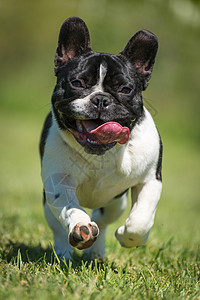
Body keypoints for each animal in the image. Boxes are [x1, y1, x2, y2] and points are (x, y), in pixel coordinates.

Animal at [39, 17, 162, 260]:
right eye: (77, 83)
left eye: (125, 89)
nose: (101, 100)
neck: (102, 153)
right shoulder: (58, 181)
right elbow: (70, 208)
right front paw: (81, 227)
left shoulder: (151, 180)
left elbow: (141, 220)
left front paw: (129, 236)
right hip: (47, 204)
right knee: (58, 228)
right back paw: (64, 253)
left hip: (115, 203)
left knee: (103, 220)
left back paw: (96, 253)